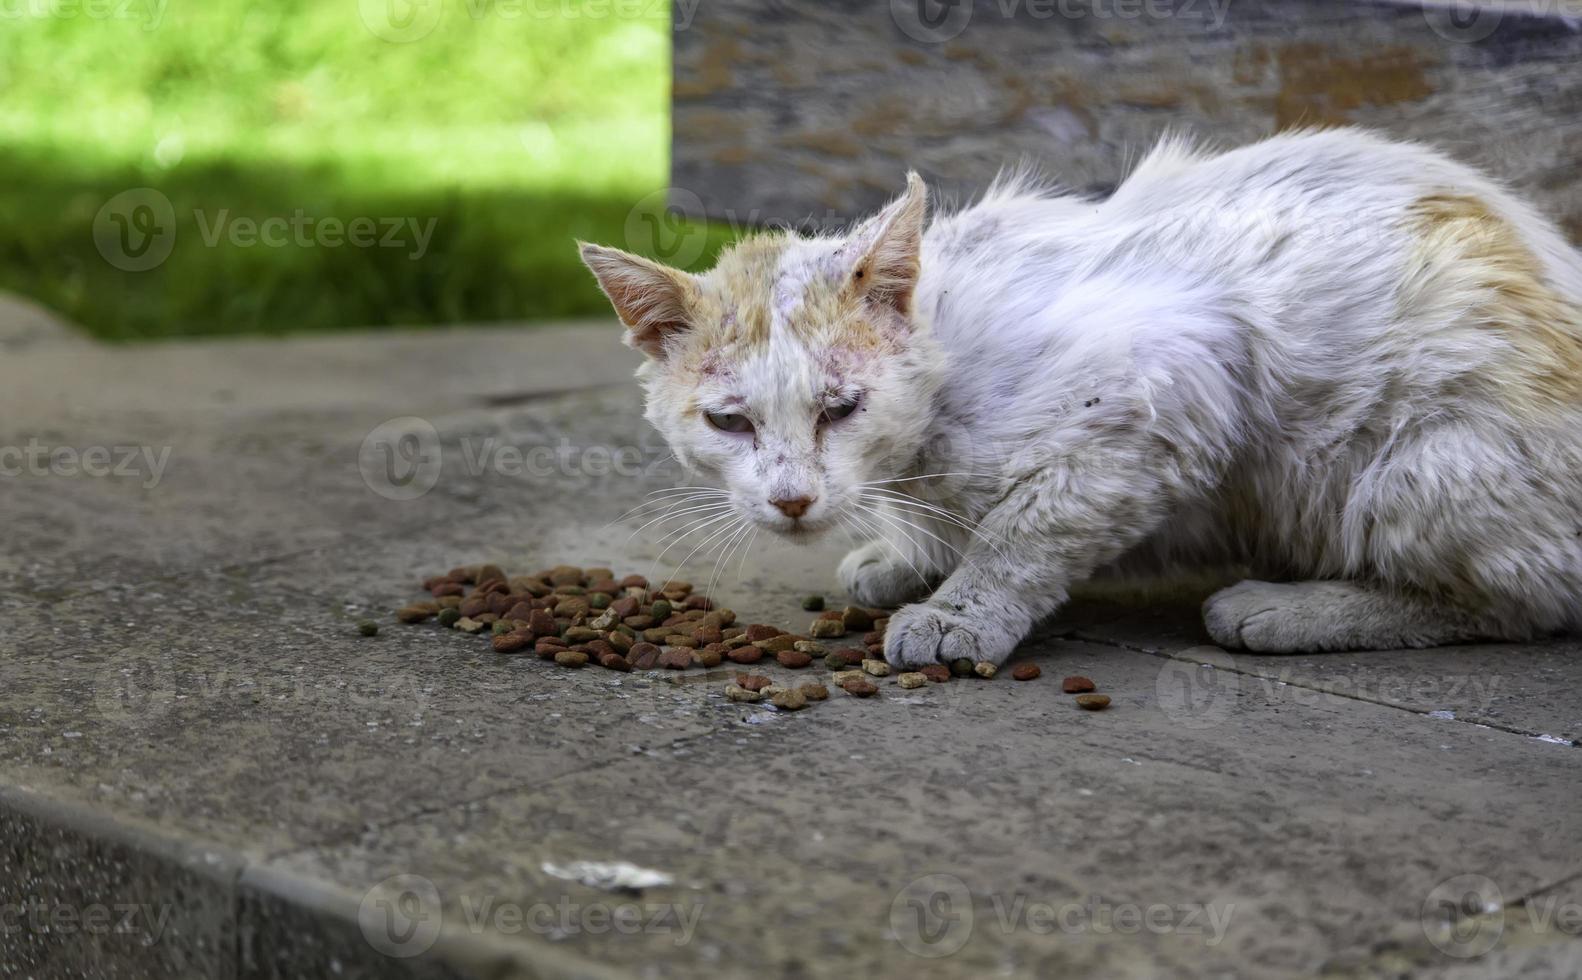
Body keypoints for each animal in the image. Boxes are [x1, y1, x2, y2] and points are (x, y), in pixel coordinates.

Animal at [579, 128, 1582, 668]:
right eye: (729, 421)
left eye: (841, 409)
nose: (792, 500)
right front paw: (905, 557)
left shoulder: (1169, 389)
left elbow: (1021, 534)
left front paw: (960, 611)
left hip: (1423, 465)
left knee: (1525, 600)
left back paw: (1292, 609)